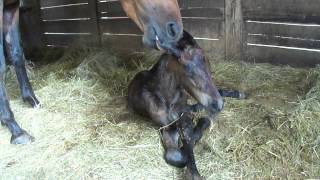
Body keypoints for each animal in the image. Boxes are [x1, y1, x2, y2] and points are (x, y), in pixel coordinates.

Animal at [127, 31, 242, 179]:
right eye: (189, 72)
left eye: (209, 66)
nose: (218, 104)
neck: (169, 98)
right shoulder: (167, 127)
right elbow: (177, 155)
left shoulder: (184, 118)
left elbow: (190, 139)